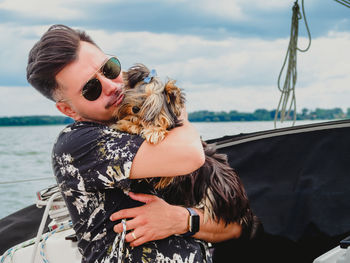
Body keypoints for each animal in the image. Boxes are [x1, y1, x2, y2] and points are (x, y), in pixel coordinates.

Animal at [113, 64, 258, 239]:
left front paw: (151, 131)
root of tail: (245, 208)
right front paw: (130, 124)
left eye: (151, 103)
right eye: (137, 93)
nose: (134, 108)